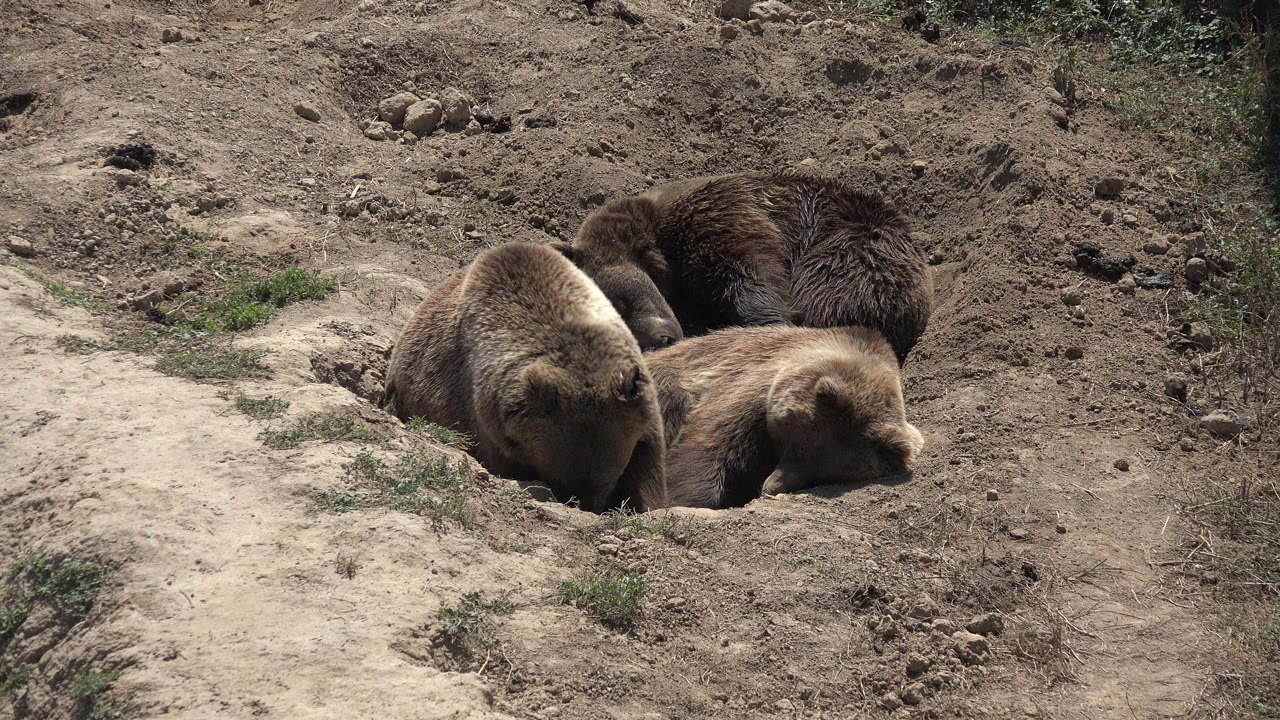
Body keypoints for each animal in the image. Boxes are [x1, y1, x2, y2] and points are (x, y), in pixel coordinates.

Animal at [645, 324, 924, 509]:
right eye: (795, 446)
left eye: (821, 475)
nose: (770, 487)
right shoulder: (754, 382)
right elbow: (708, 442)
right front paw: (684, 500)